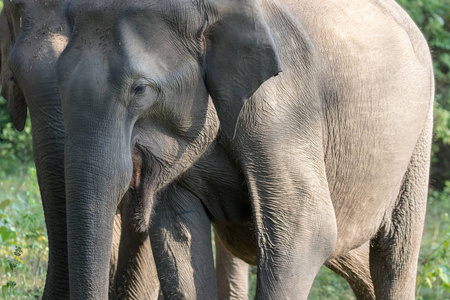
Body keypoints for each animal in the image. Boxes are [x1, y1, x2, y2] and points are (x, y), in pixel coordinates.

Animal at [56, 0, 432, 300]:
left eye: (141, 89)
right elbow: (178, 234)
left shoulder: (282, 105)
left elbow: (306, 230)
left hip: (419, 137)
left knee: (393, 252)